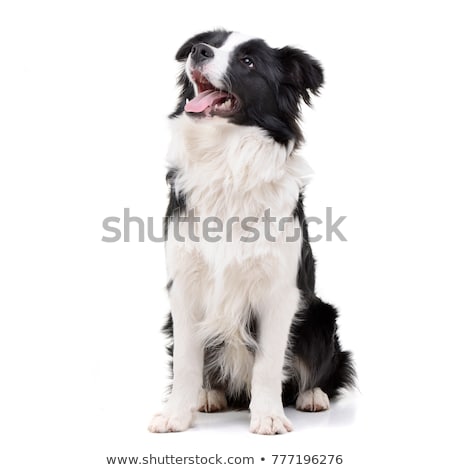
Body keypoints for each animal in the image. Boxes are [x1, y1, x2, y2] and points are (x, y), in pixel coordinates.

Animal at [150, 28, 356, 434]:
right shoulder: (184, 285)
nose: (198, 51)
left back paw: (312, 395)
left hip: (321, 316)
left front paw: (269, 416)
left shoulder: (280, 291)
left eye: (247, 61)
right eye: (210, 43)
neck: (225, 157)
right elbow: (185, 361)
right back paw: (209, 395)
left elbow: (268, 364)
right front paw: (175, 415)